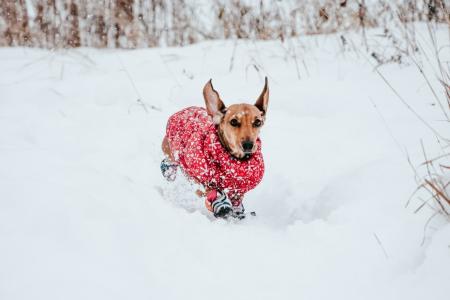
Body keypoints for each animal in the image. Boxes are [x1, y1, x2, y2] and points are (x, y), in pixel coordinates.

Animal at [161, 77, 268, 218]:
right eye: (234, 121)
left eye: (257, 122)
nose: (248, 145)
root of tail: (183, 110)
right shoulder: (202, 180)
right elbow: (211, 191)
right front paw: (221, 204)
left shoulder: (238, 190)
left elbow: (236, 203)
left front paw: (237, 213)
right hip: (172, 152)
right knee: (170, 161)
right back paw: (168, 170)